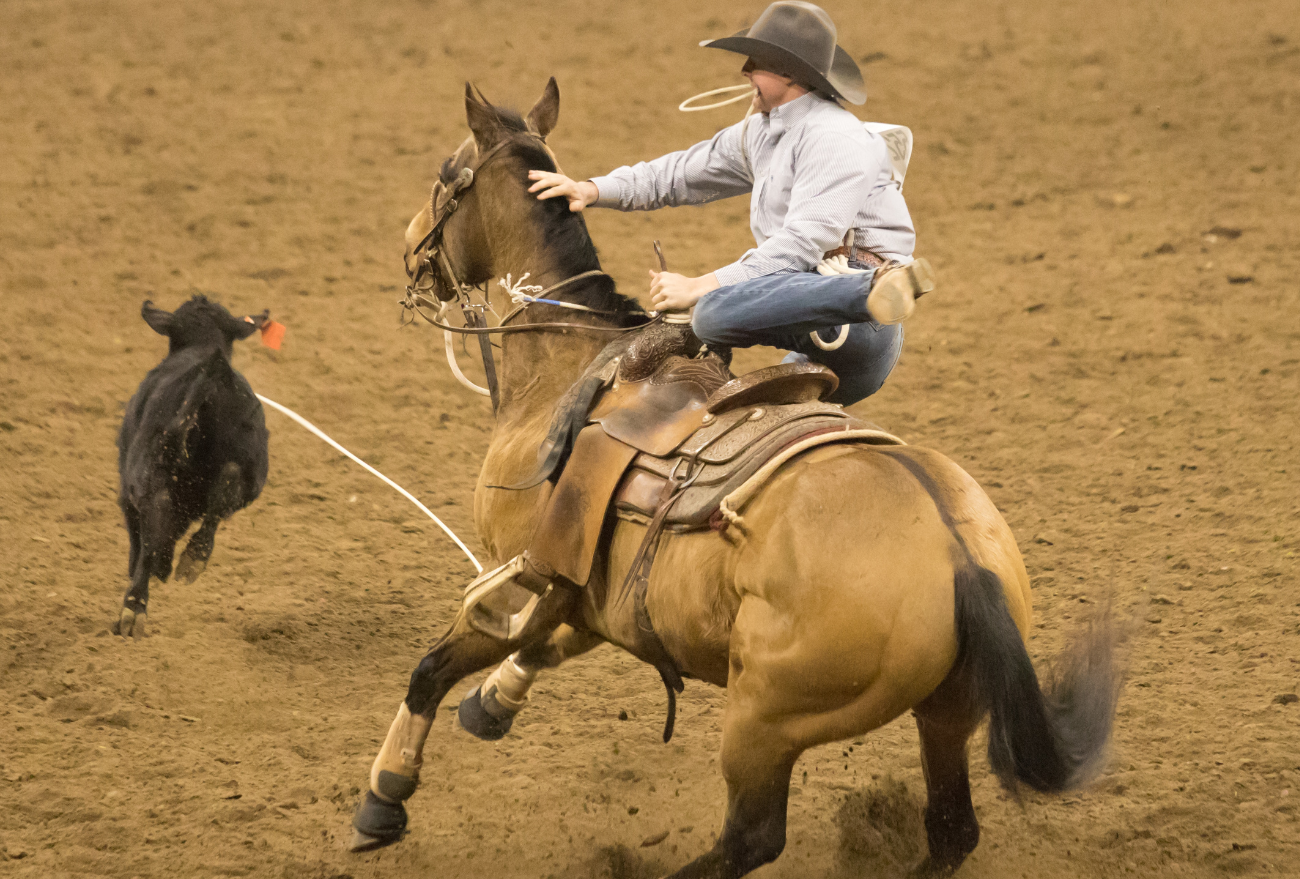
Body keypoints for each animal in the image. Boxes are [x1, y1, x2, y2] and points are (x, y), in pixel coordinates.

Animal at [115, 299, 270, 634]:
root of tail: (211, 373)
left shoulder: (127, 493)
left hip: (148, 476)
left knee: (153, 532)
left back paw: (134, 609)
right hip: (250, 470)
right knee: (225, 492)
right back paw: (193, 559)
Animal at [348, 78, 1118, 873]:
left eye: (446, 173)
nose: (409, 245)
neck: (571, 363)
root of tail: (962, 558)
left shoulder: (528, 569)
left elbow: (435, 667)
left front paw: (385, 795)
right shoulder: (586, 588)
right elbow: (546, 643)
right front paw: (493, 702)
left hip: (765, 720)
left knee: (752, 836)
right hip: (946, 710)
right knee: (950, 829)